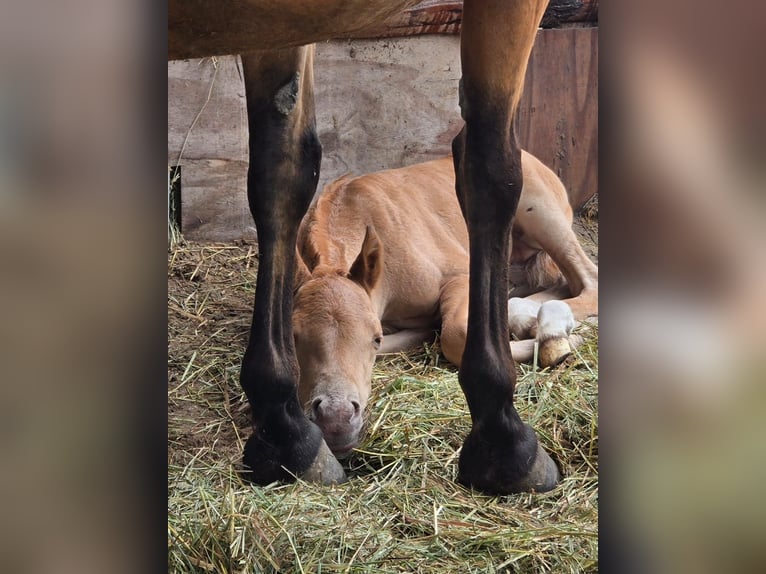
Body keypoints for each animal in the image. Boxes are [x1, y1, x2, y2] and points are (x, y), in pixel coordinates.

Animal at [169, 0, 561, 494]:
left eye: (374, 338)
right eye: (295, 336)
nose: (335, 418)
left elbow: (282, 169)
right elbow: (492, 166)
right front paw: (509, 446)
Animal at [292, 152, 598, 456]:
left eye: (374, 338)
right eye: (293, 338)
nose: (336, 419)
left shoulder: (460, 274)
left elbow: (453, 336)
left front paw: (563, 342)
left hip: (542, 214)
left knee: (588, 280)